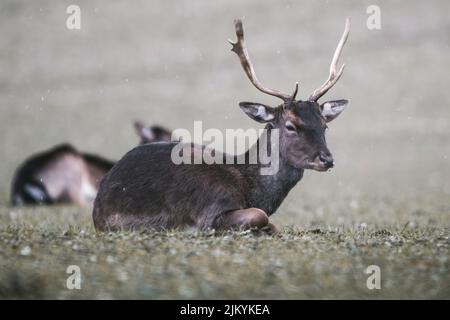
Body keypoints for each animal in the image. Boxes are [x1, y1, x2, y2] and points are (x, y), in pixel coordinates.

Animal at [92, 18, 352, 232]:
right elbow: (260, 216)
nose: (327, 159)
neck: (251, 189)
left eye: (324, 125)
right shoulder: (210, 211)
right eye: (291, 126)